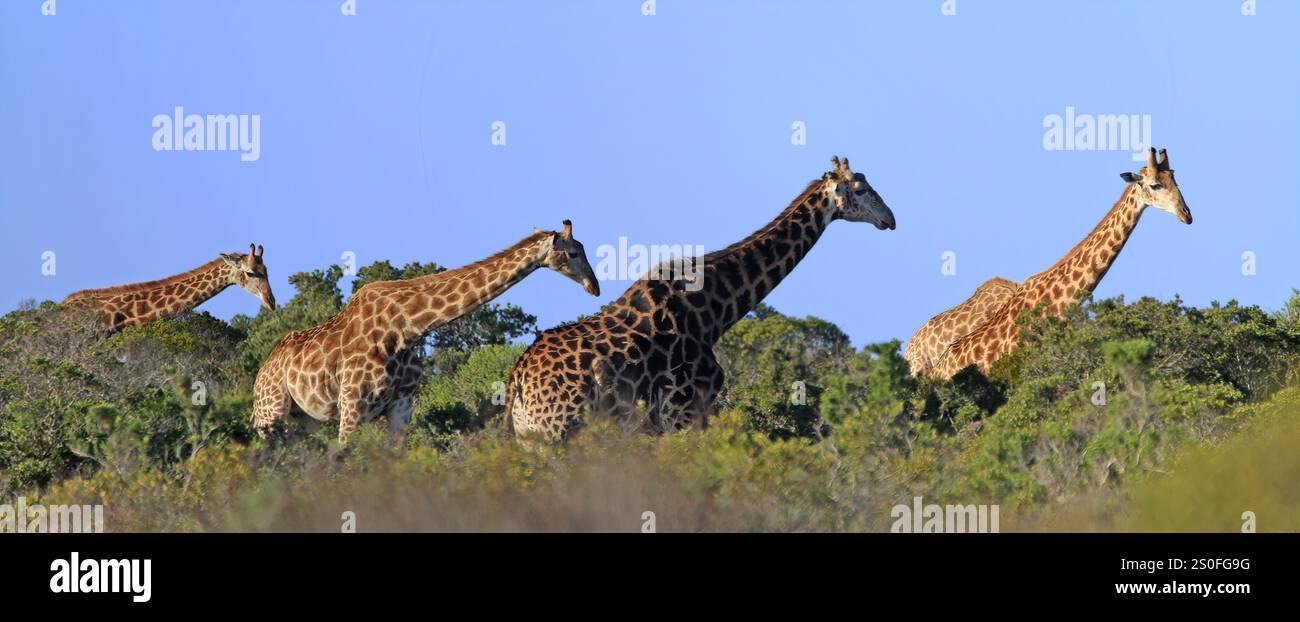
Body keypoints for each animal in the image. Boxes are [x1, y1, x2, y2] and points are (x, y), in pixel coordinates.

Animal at [252, 221, 600, 445]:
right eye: (573, 253)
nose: (594, 286)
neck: (406, 327)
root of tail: (259, 376)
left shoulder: (402, 405)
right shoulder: (352, 405)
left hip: (302, 422)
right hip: (271, 415)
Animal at [506, 156, 895, 441]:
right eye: (861, 189)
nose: (890, 218)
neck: (714, 312)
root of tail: (516, 381)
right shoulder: (684, 411)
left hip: (532, 439)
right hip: (560, 432)